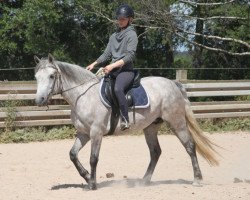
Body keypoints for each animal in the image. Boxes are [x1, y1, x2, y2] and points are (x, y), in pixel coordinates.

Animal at [34, 54, 218, 191]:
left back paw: (197, 179)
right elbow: (73, 154)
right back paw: (144, 181)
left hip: (176, 122)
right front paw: (86, 177)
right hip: (151, 127)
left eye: (51, 76)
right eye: (36, 77)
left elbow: (93, 158)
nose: (39, 100)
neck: (83, 95)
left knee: (190, 146)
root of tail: (173, 84)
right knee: (155, 152)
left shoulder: (96, 133)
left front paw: (92, 184)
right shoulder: (84, 133)